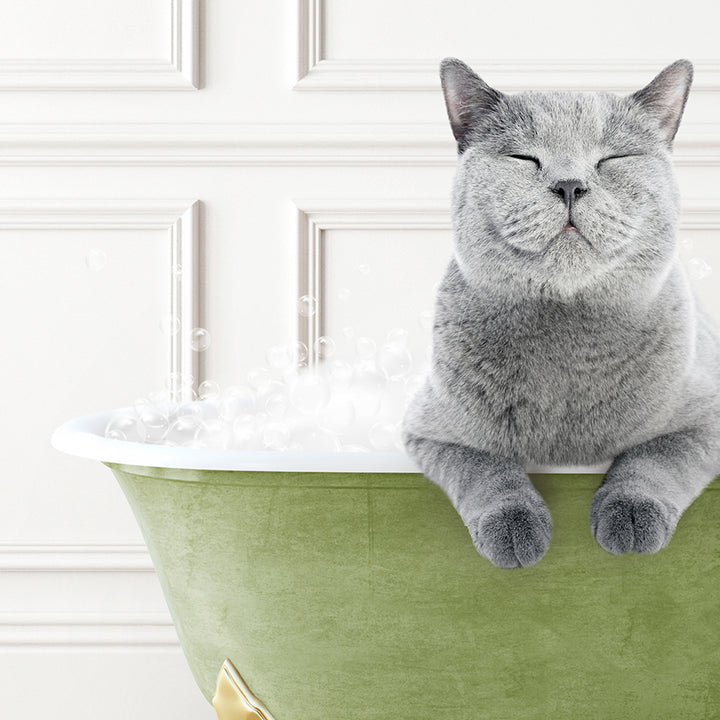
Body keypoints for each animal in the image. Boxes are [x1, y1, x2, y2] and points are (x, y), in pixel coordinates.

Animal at [400, 57, 720, 568]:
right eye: (523, 158)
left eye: (612, 159)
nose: (570, 185)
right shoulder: (432, 431)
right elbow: (485, 467)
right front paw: (515, 528)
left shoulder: (706, 417)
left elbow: (656, 457)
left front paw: (631, 517)